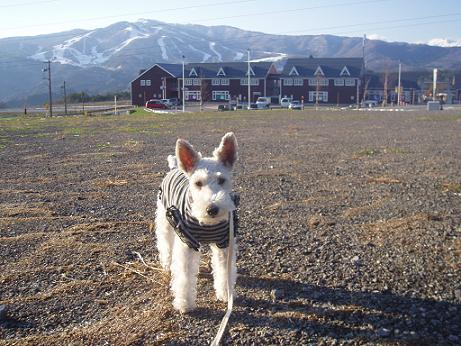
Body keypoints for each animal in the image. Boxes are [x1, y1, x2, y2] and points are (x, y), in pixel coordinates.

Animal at [156, 132, 239, 314]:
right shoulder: (187, 243)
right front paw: (184, 303)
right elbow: (185, 276)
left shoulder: (224, 244)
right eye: (198, 183)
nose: (212, 209)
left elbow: (224, 271)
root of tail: (174, 168)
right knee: (165, 245)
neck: (208, 225)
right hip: (165, 223)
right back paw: (166, 264)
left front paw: (225, 293)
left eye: (221, 180)